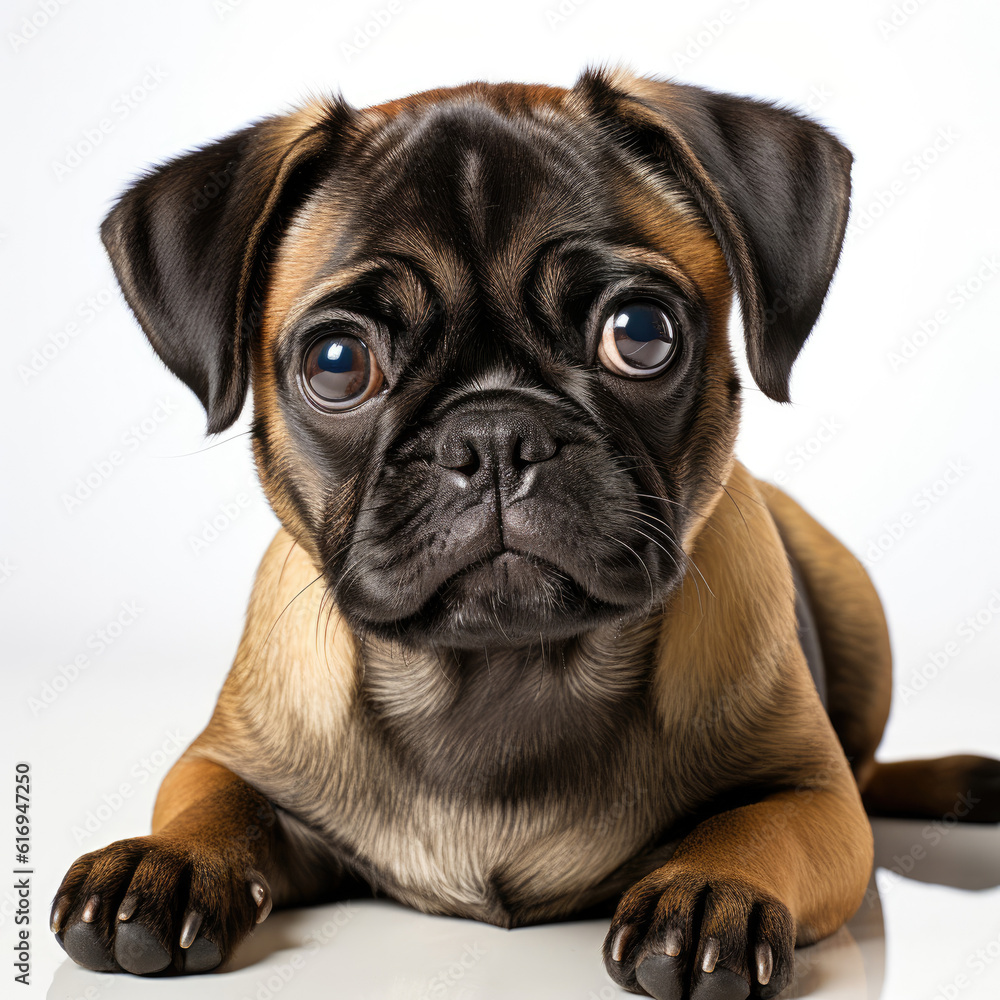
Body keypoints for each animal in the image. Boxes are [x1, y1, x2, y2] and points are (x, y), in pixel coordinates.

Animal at [54, 66, 1000, 996]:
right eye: (338, 364)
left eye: (640, 333)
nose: (494, 435)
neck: (500, 678)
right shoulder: (224, 758)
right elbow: (211, 799)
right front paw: (167, 862)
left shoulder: (812, 794)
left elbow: (759, 825)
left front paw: (709, 891)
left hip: (854, 608)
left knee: (869, 772)